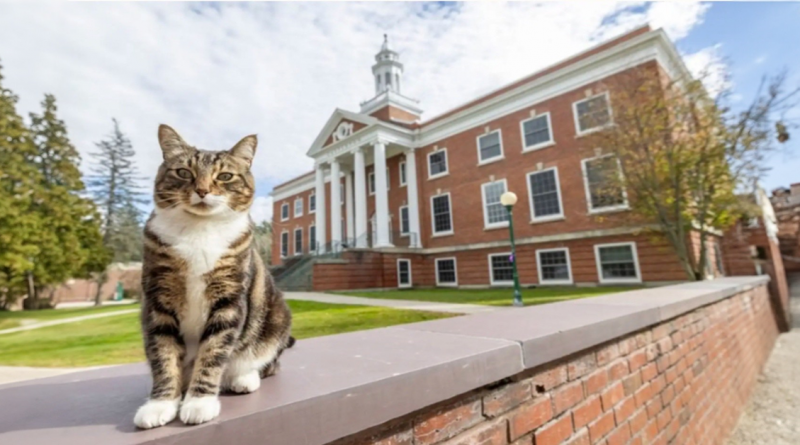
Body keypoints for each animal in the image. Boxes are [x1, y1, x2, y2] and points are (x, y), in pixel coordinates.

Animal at [134, 124, 294, 426]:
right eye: (184, 172)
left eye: (225, 176)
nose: (202, 190)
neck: (199, 230)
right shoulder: (158, 300)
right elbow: (163, 354)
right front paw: (160, 404)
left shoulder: (229, 298)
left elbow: (214, 352)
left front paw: (199, 402)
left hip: (276, 318)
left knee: (267, 362)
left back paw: (243, 378)